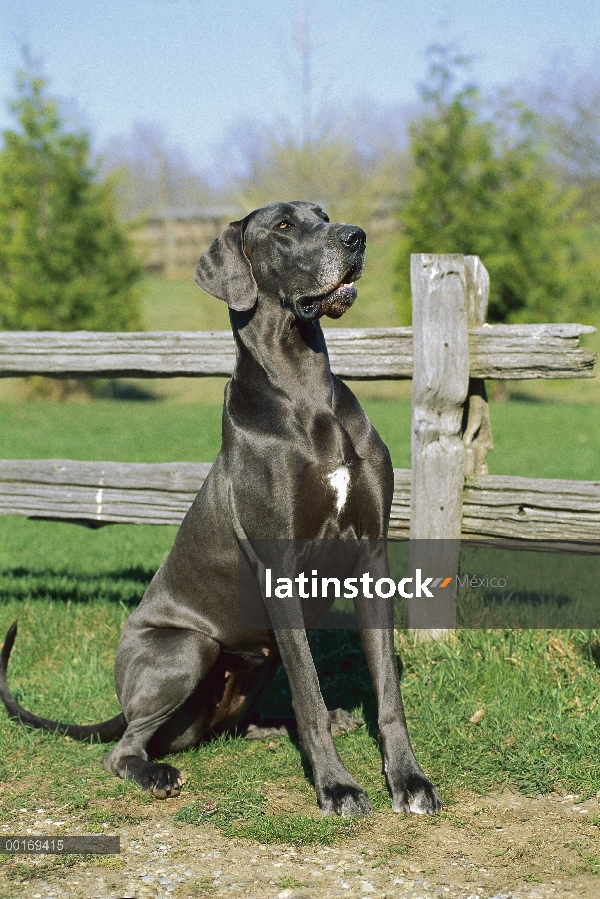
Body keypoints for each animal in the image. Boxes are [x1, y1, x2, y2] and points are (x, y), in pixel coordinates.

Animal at [0, 200, 440, 820]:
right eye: (283, 226)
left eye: (323, 213)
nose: (356, 237)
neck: (304, 389)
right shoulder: (279, 569)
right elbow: (309, 687)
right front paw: (336, 787)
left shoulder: (371, 554)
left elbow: (387, 692)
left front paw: (408, 779)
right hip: (188, 649)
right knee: (122, 749)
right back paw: (154, 772)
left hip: (255, 661)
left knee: (247, 720)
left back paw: (311, 722)